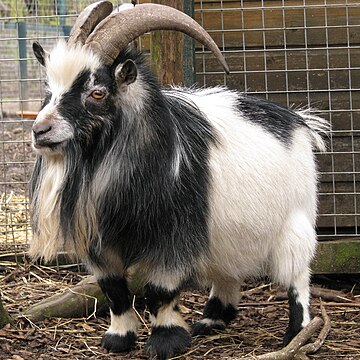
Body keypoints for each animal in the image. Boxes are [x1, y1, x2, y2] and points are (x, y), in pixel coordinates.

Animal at [29, 1, 330, 358]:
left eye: (98, 93)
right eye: (48, 90)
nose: (40, 130)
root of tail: (298, 120)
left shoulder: (174, 235)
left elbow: (159, 289)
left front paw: (165, 340)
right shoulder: (100, 241)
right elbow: (113, 289)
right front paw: (119, 338)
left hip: (294, 220)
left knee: (298, 275)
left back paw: (298, 331)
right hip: (225, 232)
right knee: (227, 270)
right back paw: (212, 320)